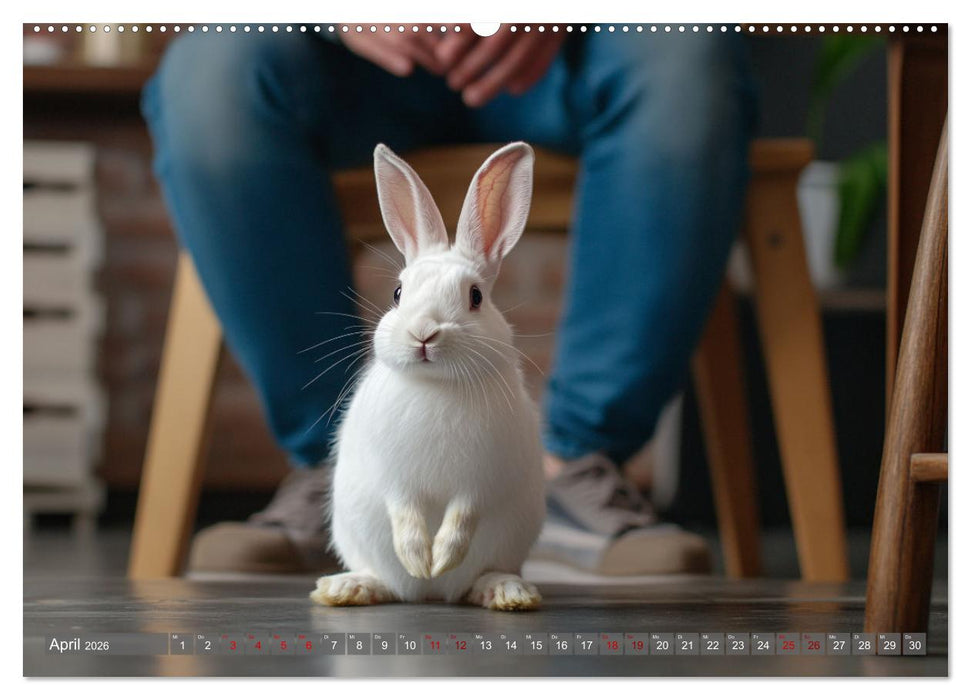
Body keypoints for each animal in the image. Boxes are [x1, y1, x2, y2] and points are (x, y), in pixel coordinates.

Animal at [310, 142, 546, 611]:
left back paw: (505, 592)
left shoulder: (482, 478)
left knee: (482, 575)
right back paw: (352, 588)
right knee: (385, 578)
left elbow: (463, 517)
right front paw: (420, 559)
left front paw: (442, 558)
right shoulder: (394, 477)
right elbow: (404, 512)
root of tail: (431, 596)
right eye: (398, 293)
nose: (423, 333)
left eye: (475, 296)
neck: (437, 385)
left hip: (510, 540)